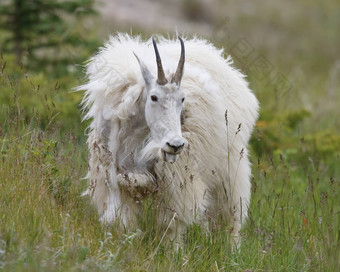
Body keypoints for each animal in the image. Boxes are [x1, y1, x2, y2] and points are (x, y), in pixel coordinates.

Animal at [79, 33, 258, 245]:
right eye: (154, 97)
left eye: (183, 98)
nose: (175, 145)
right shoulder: (113, 179)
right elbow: (123, 217)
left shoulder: (176, 183)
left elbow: (171, 224)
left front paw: (174, 250)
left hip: (228, 173)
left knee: (230, 216)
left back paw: (231, 248)